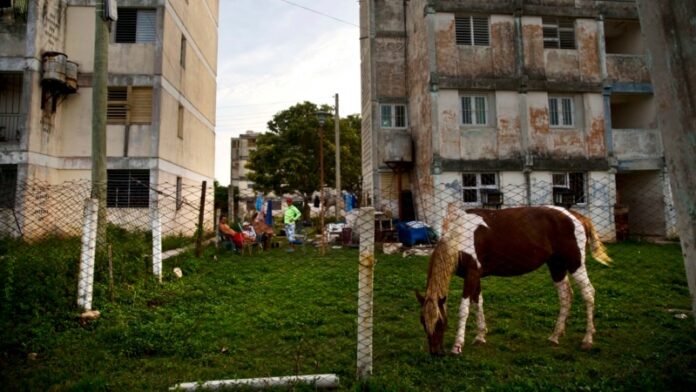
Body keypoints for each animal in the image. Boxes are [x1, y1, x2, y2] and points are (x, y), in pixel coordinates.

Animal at [418, 207, 608, 356]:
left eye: (441, 323)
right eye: (423, 322)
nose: (436, 352)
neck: (461, 237)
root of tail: (576, 216)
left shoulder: (472, 275)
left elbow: (464, 309)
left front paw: (457, 346)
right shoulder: (474, 276)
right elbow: (478, 303)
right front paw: (480, 337)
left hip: (575, 264)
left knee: (588, 293)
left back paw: (587, 340)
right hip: (557, 266)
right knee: (566, 296)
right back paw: (554, 337)